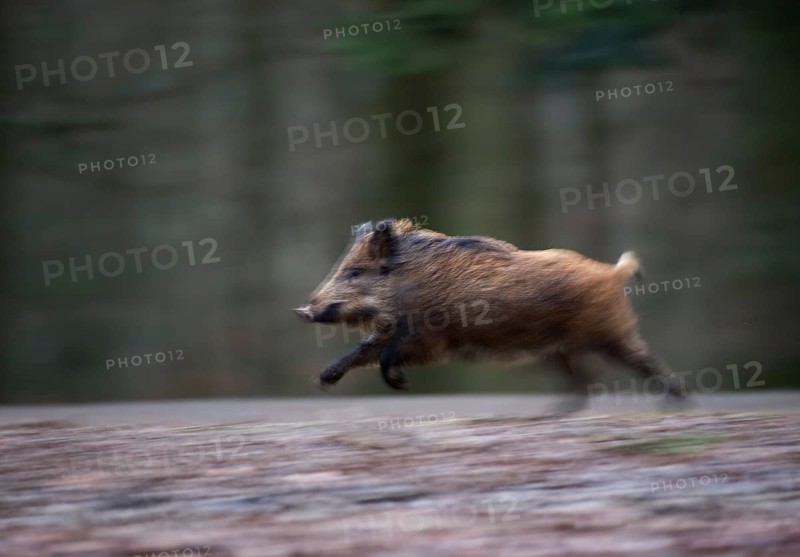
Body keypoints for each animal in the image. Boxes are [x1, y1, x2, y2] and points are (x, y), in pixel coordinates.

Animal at [294, 218, 687, 411]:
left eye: (355, 273)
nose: (303, 310)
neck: (413, 281)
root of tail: (613, 272)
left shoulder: (432, 340)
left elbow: (387, 355)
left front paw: (399, 384)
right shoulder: (393, 333)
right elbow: (362, 351)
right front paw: (323, 380)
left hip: (610, 334)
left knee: (642, 361)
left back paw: (678, 400)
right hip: (558, 350)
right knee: (588, 380)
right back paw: (556, 410)